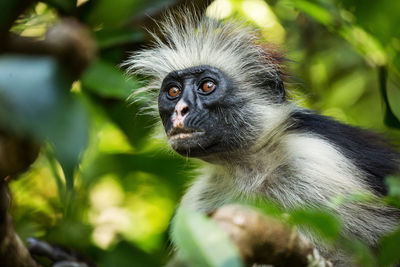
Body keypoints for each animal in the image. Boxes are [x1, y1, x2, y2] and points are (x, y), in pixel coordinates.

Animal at [125, 11, 400, 266]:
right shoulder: (200, 204)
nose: (181, 110)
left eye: (207, 86)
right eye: (173, 91)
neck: (251, 170)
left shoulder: (318, 159)